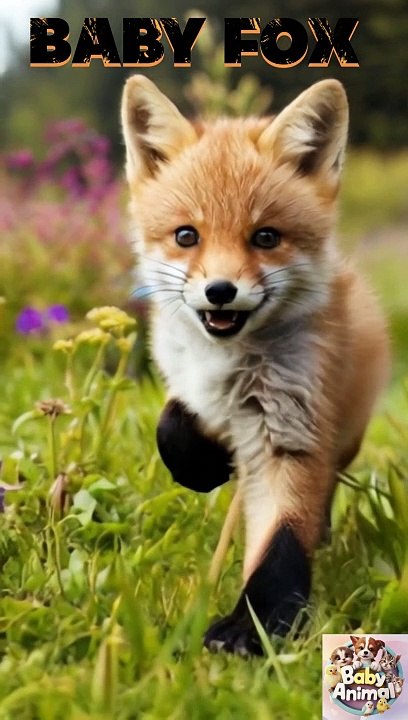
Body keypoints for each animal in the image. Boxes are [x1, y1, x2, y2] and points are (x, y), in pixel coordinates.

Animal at [121, 75, 390, 656]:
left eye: (265, 237)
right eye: (186, 235)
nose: (220, 291)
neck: (230, 367)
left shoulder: (291, 433)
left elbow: (281, 541)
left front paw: (255, 626)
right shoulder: (187, 384)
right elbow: (172, 423)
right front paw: (200, 465)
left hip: (343, 436)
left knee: (324, 494)